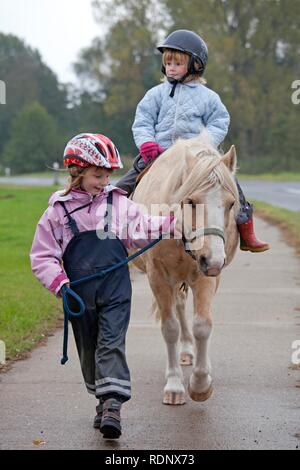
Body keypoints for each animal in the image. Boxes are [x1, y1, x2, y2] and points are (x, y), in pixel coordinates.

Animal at [132, 134, 240, 406]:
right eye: (191, 201)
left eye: (231, 203)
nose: (214, 260)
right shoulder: (158, 277)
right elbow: (170, 328)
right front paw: (174, 386)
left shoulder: (205, 276)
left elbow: (203, 324)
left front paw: (201, 383)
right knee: (179, 308)